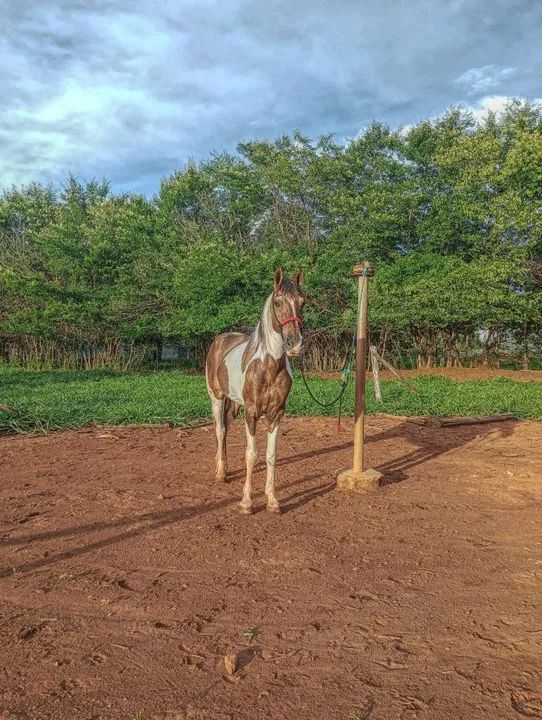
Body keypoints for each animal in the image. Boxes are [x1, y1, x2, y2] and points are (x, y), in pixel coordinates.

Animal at [205, 268, 305, 514]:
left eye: (303, 301)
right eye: (278, 302)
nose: (295, 344)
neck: (269, 366)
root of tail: (219, 340)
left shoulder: (276, 413)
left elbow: (271, 455)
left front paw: (272, 500)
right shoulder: (251, 413)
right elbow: (251, 455)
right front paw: (247, 502)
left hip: (233, 405)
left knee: (225, 431)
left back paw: (224, 467)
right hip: (217, 398)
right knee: (219, 431)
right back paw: (220, 473)